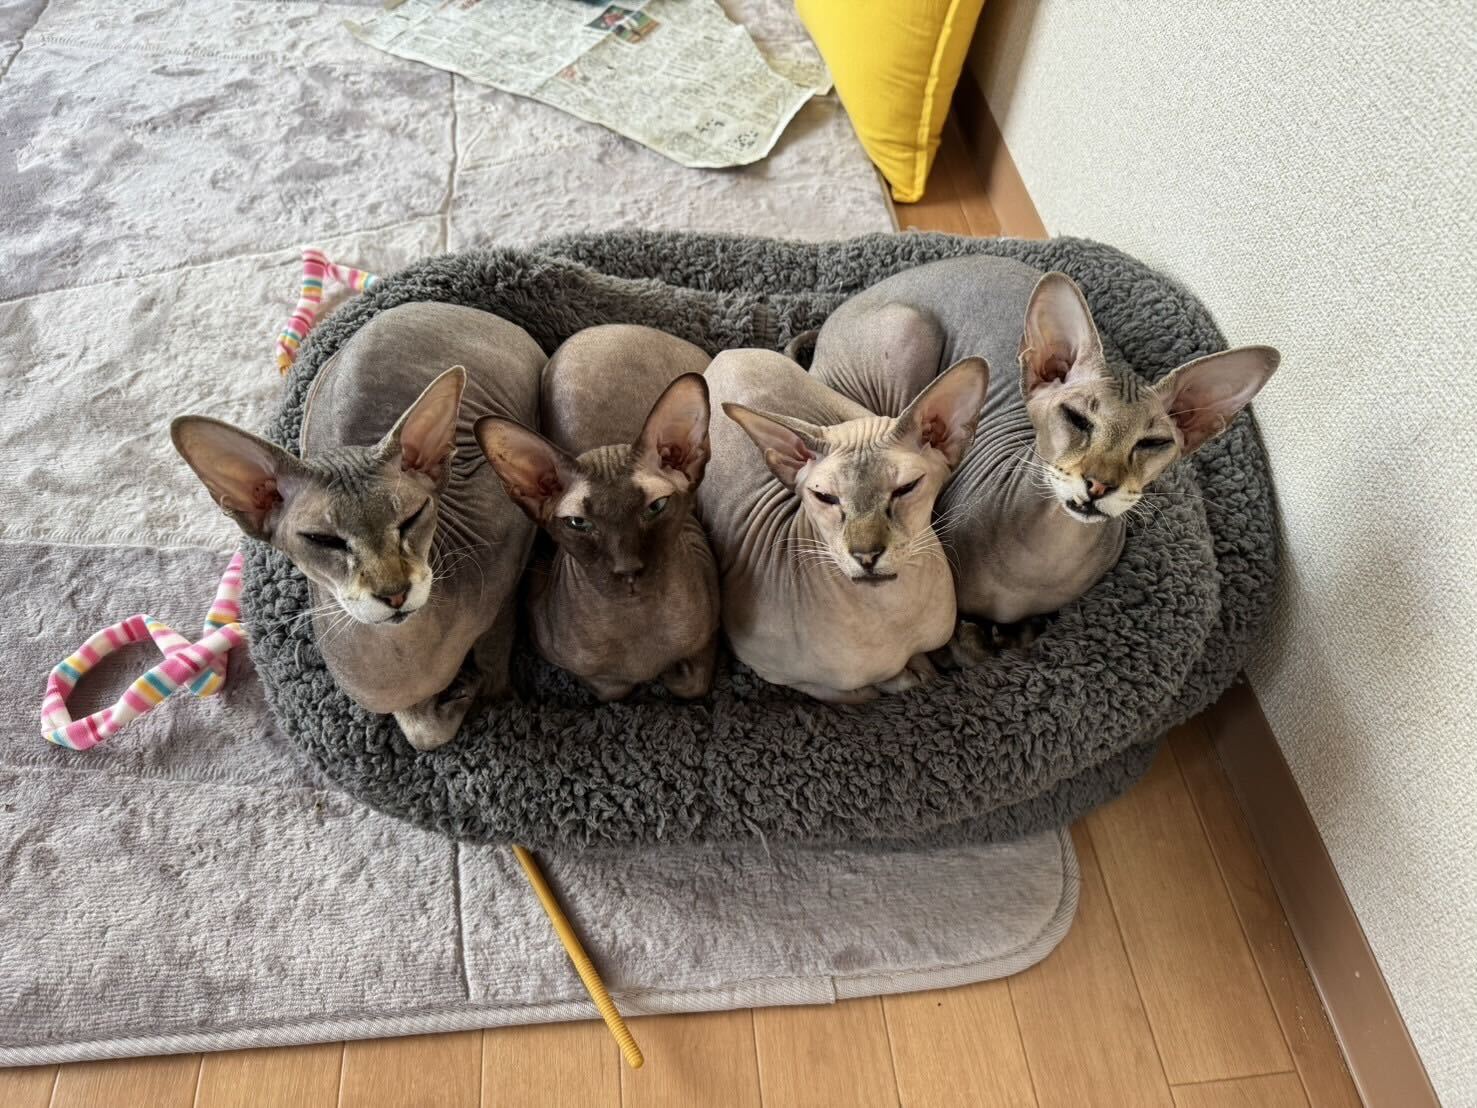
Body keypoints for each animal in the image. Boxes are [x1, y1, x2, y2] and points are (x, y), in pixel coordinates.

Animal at [172, 301, 544, 749]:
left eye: (412, 517)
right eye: (323, 540)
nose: (395, 593)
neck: (408, 656)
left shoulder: (510, 563)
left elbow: (491, 659)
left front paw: (490, 698)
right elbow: (422, 731)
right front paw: (459, 697)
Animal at [476, 324, 719, 701]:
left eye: (656, 506)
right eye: (579, 523)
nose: (628, 570)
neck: (636, 622)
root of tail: (607, 327)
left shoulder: (708, 634)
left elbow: (691, 684)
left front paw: (667, 675)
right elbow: (613, 688)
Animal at [698, 347, 988, 702]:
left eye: (906, 488)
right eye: (825, 497)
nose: (866, 555)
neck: (895, 615)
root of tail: (728, 352)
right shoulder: (773, 671)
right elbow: (865, 691)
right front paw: (909, 676)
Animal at [806, 255, 1280, 657]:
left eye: (1152, 443)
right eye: (1076, 418)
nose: (1099, 485)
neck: (1043, 559)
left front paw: (1008, 636)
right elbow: (964, 645)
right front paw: (979, 643)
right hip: (910, 333)